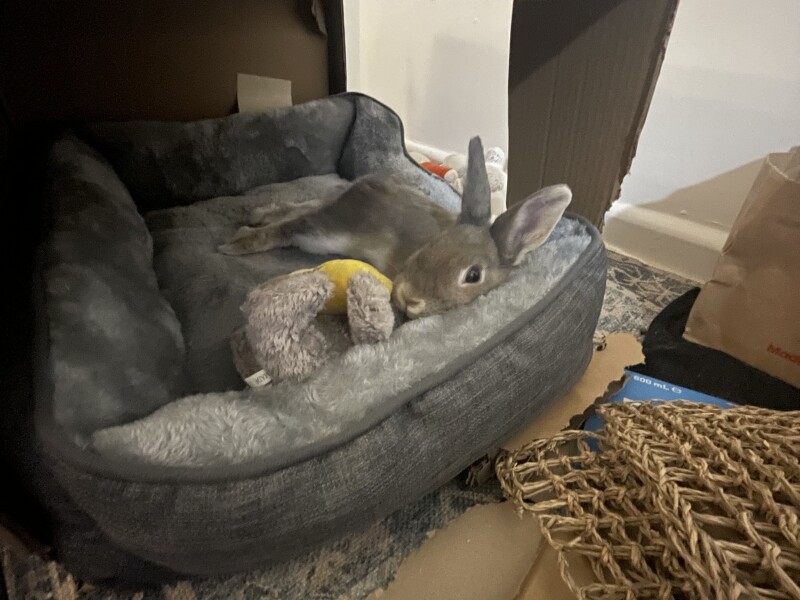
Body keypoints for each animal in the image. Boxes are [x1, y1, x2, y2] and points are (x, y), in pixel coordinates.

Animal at [218, 136, 572, 319]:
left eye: (473, 276)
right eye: (432, 245)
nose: (406, 297)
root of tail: (361, 186)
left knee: (302, 209)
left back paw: (257, 213)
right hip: (327, 233)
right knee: (292, 225)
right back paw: (236, 242)